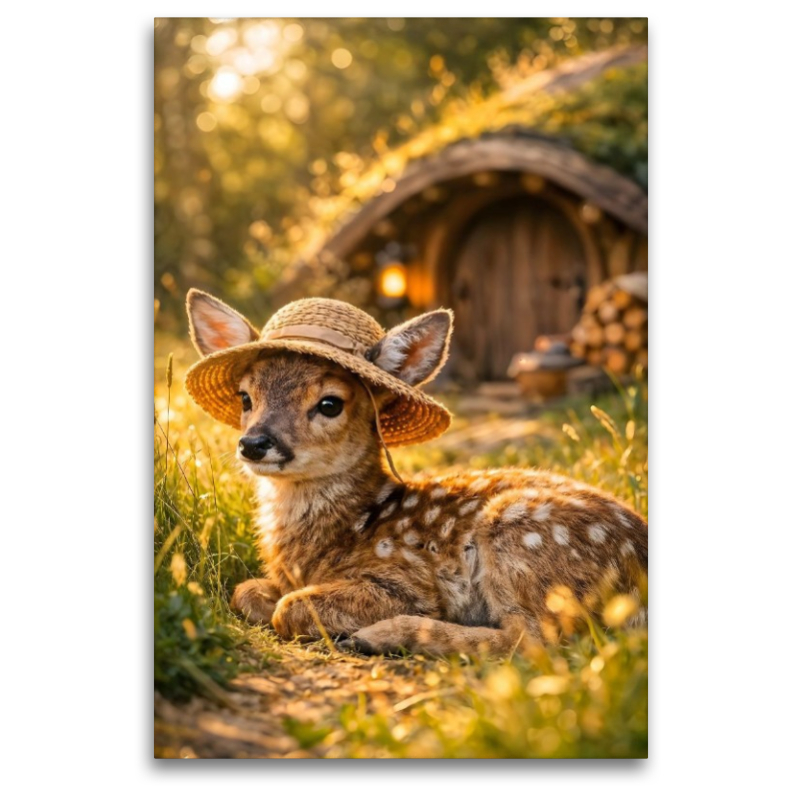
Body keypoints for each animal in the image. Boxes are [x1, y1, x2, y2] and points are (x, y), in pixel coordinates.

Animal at [185, 291, 648, 657]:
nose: (254, 443)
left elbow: (290, 607)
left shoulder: (406, 582)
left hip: (519, 536)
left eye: (330, 403)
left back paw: (376, 637)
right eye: (245, 397)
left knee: (533, 641)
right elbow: (245, 591)